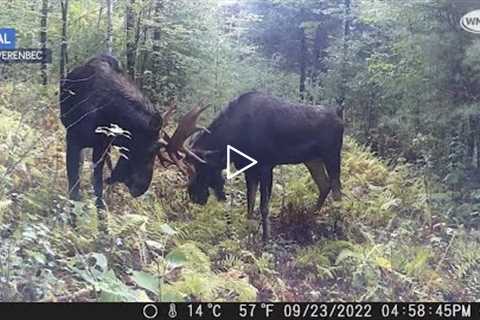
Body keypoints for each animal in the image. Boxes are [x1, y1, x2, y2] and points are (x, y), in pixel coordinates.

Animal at [186, 91, 344, 241]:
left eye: (199, 166)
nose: (193, 195)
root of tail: (340, 117)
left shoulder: (266, 166)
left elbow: (263, 207)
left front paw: (266, 239)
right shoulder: (249, 169)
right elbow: (250, 205)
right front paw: (248, 234)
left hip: (331, 155)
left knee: (337, 192)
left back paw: (336, 228)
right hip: (312, 160)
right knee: (324, 185)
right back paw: (311, 217)